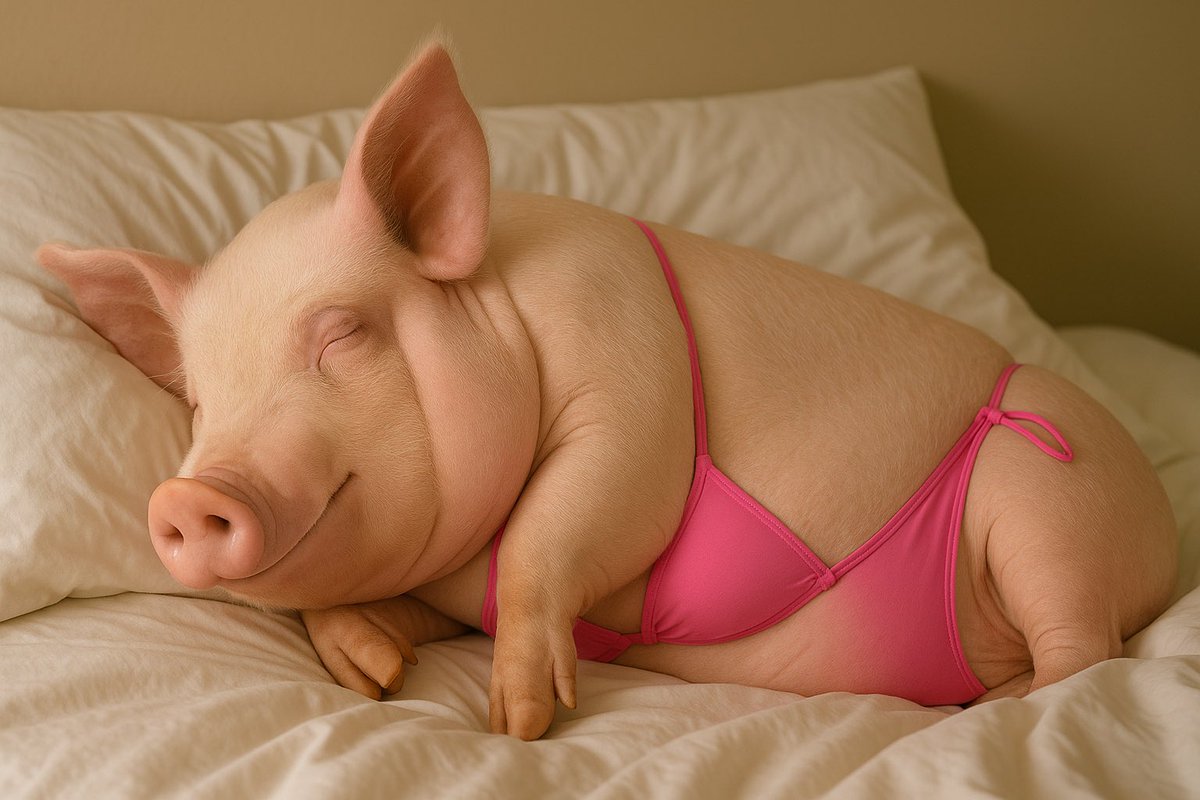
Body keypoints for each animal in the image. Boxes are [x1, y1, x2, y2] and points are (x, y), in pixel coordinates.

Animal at [36, 41, 1177, 740]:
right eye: (200, 398)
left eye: (344, 334)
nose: (187, 494)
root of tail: (1163, 530)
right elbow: (356, 609)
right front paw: (379, 675)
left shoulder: (633, 384)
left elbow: (564, 521)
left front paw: (520, 721)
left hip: (1052, 497)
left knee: (1086, 652)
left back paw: (999, 711)